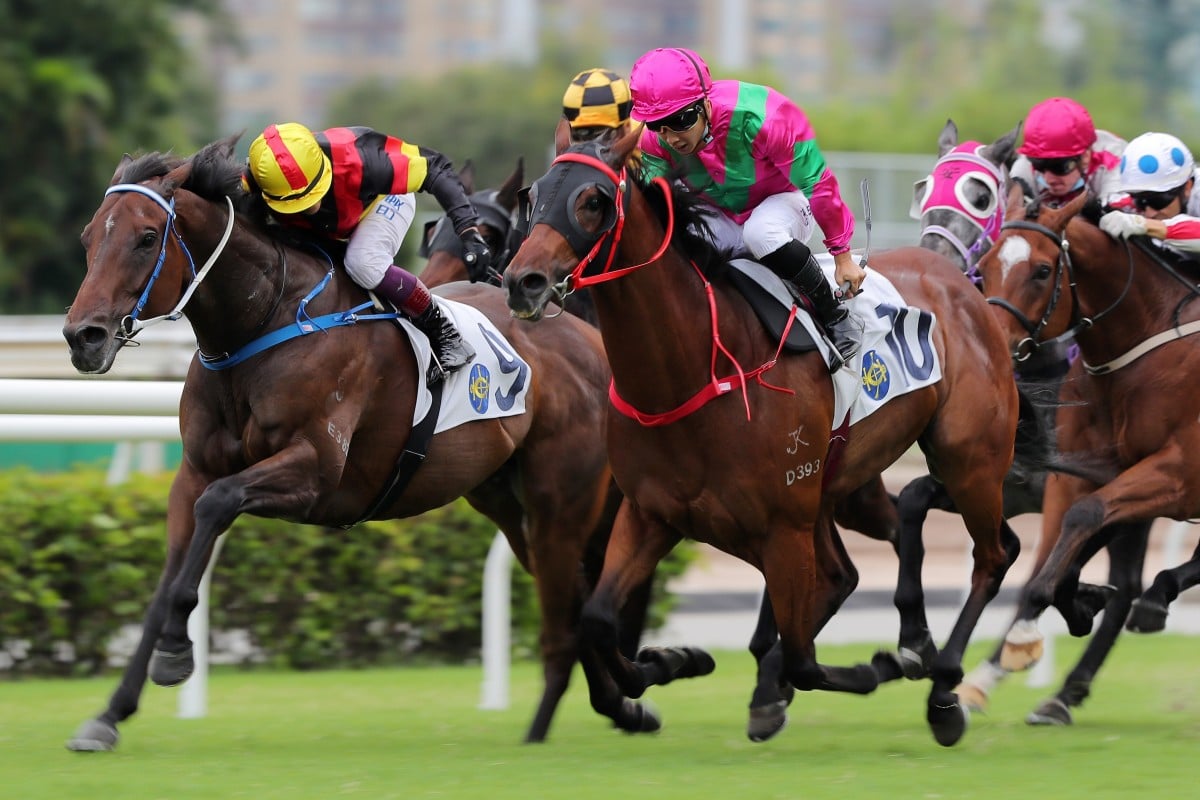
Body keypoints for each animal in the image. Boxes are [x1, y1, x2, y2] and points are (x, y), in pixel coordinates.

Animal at [60, 133, 667, 753]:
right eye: (89, 237)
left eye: (145, 238)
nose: (84, 336)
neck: (265, 321)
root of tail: (587, 337)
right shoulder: (194, 473)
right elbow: (168, 578)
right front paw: (110, 714)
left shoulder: (314, 473)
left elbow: (217, 506)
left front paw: (176, 652)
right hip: (505, 500)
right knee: (568, 594)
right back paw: (623, 703)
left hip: (559, 501)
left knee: (569, 597)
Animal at [504, 128, 1022, 748]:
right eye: (534, 196)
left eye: (592, 201)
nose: (522, 282)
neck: (695, 372)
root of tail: (958, 278)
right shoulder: (652, 513)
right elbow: (599, 620)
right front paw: (672, 662)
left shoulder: (782, 525)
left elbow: (803, 658)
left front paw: (875, 666)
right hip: (839, 486)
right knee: (860, 567)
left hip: (969, 460)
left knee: (992, 556)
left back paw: (941, 688)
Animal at [912, 122, 1156, 729]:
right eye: (925, 187)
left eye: (980, 194)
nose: (931, 255)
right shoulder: (994, 481)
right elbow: (915, 501)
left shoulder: (1075, 484)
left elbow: (1046, 565)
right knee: (1123, 584)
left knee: (1127, 583)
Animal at [974, 190, 1200, 695]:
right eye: (984, 264)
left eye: (1042, 270)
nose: (991, 345)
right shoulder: (1094, 469)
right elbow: (1074, 537)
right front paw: (1078, 602)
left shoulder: (1180, 474)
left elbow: (1087, 514)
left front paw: (1026, 635)